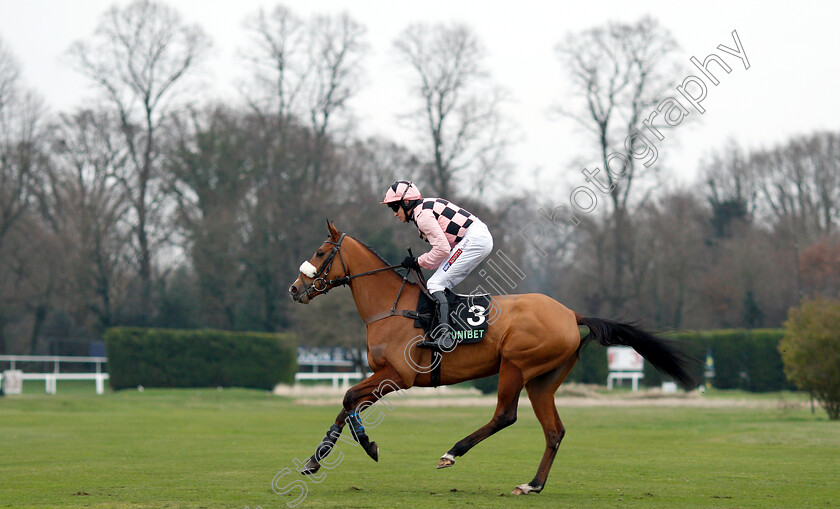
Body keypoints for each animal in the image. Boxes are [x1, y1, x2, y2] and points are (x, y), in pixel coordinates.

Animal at [288, 220, 696, 494]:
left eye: (321, 253)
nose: (295, 289)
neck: (390, 306)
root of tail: (571, 314)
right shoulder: (385, 376)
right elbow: (347, 403)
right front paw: (316, 459)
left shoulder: (398, 376)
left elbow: (347, 398)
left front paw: (364, 446)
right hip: (543, 380)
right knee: (554, 431)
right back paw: (532, 485)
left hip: (516, 366)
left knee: (505, 415)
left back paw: (453, 452)